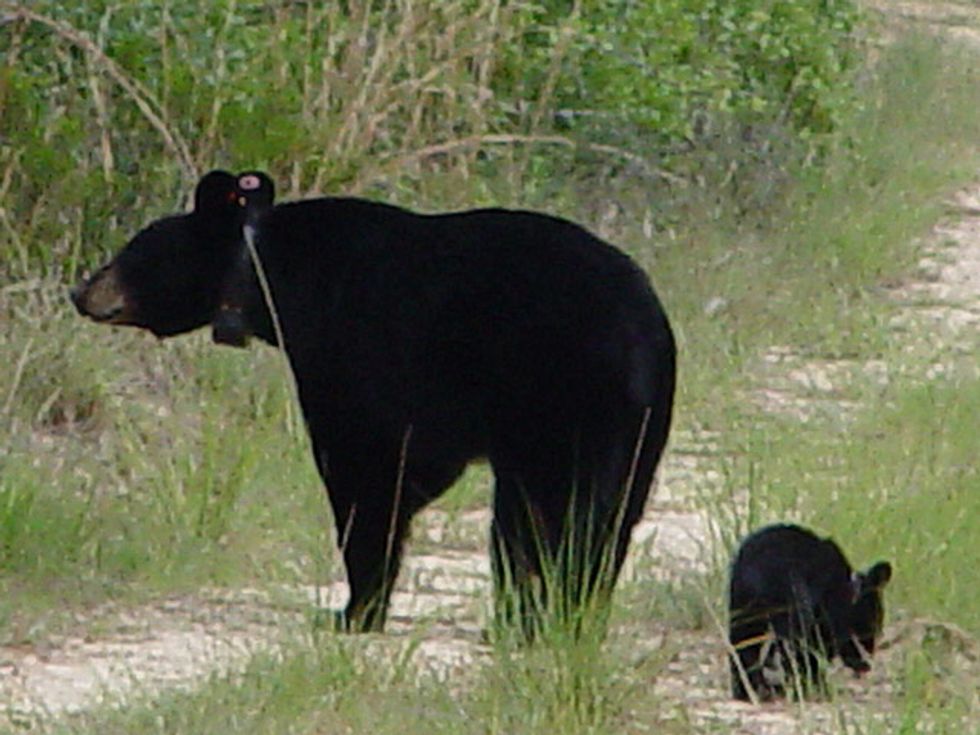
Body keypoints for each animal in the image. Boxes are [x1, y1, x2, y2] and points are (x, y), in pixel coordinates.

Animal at [72, 170, 677, 638]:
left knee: (543, 515)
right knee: (607, 518)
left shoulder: (352, 350)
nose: (80, 291)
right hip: (640, 429)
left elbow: (366, 470)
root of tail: (645, 337)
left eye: (132, 250)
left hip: (556, 405)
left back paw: (529, 620)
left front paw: (353, 610)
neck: (269, 276)